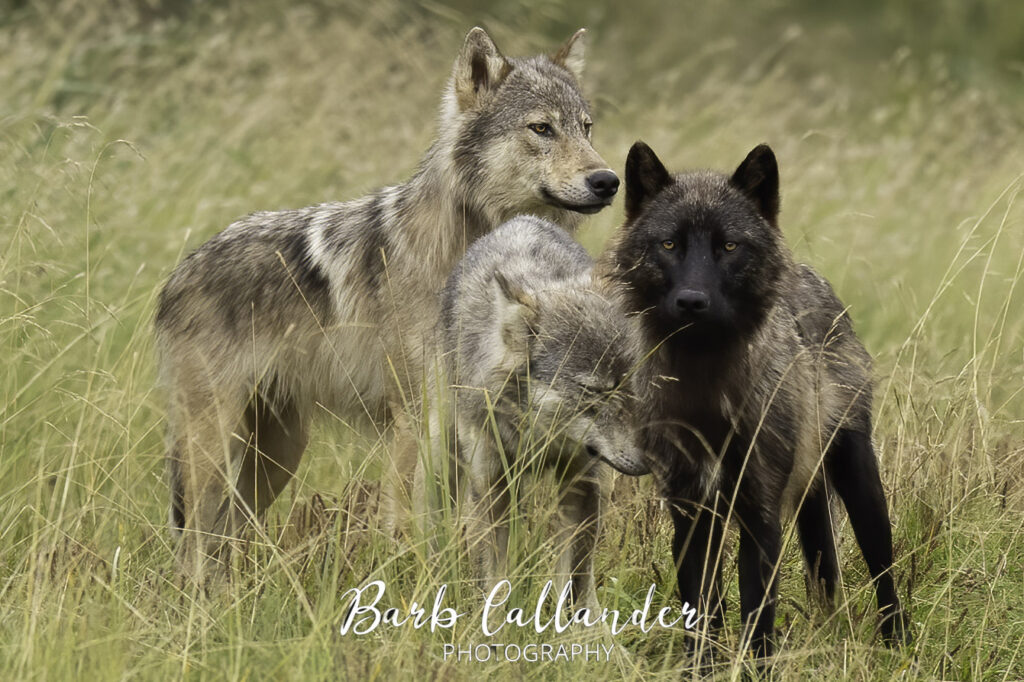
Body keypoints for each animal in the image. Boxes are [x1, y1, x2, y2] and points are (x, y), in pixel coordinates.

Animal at [155, 27, 619, 577]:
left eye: (586, 128)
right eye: (542, 128)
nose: (608, 181)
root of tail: (178, 274)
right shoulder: (416, 422)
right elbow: (411, 526)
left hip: (276, 454)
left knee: (226, 537)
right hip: (215, 450)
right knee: (195, 544)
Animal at [425, 215, 647, 606]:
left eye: (632, 385)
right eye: (594, 390)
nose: (654, 459)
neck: (542, 436)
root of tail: (523, 219)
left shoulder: (584, 482)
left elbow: (574, 581)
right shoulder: (491, 486)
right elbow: (495, 580)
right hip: (446, 461)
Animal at [602, 142, 906, 658]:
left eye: (729, 246)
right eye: (669, 245)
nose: (692, 301)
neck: (706, 391)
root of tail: (811, 276)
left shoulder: (759, 515)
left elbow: (757, 628)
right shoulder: (690, 513)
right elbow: (703, 618)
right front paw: (700, 668)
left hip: (859, 481)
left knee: (884, 573)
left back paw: (897, 648)